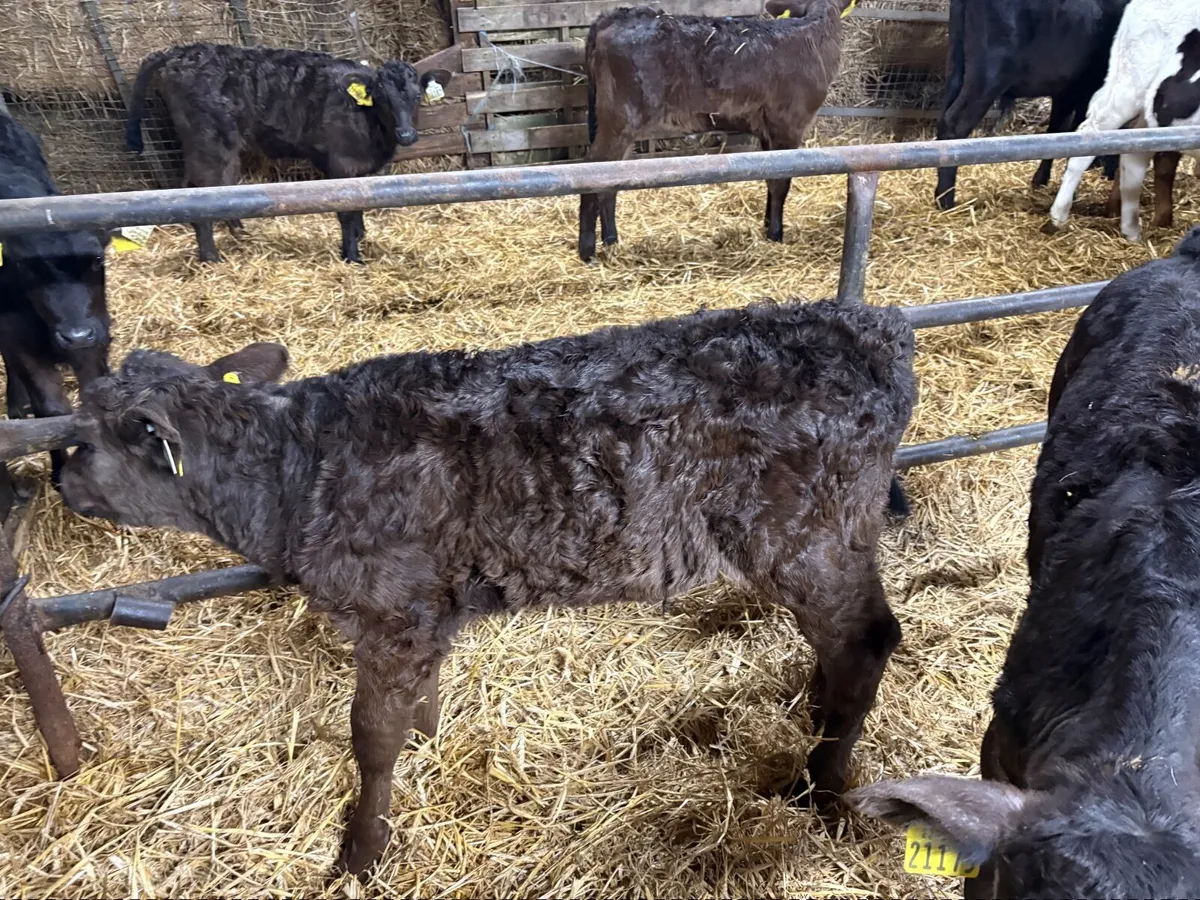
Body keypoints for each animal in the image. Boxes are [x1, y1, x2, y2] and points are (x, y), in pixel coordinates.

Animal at [125, 44, 452, 263]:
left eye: (416, 97)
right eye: (383, 99)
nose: (406, 134)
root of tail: (181, 51)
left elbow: (360, 204)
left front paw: (360, 237)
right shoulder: (341, 163)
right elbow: (347, 210)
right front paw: (351, 256)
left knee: (221, 187)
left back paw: (240, 234)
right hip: (208, 143)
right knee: (196, 193)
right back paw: (211, 259)